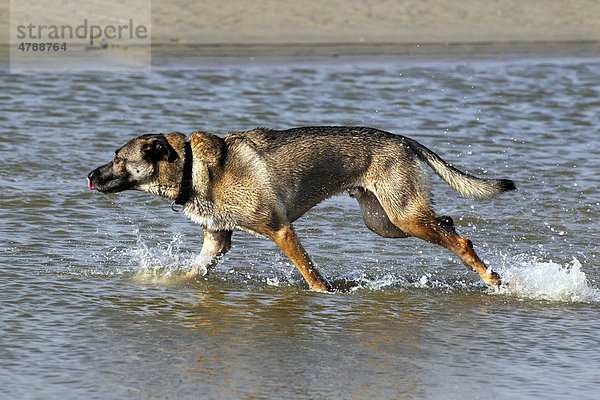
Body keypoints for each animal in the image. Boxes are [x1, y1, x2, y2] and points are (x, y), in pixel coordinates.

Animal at [88, 126, 516, 292]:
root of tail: (401, 139)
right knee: (449, 223)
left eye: (118, 158)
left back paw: (492, 279)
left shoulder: (280, 230)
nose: (89, 176)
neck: (192, 167)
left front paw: (324, 296)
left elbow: (310, 273)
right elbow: (191, 271)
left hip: (404, 217)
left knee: (459, 241)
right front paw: (165, 285)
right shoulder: (216, 243)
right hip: (385, 221)